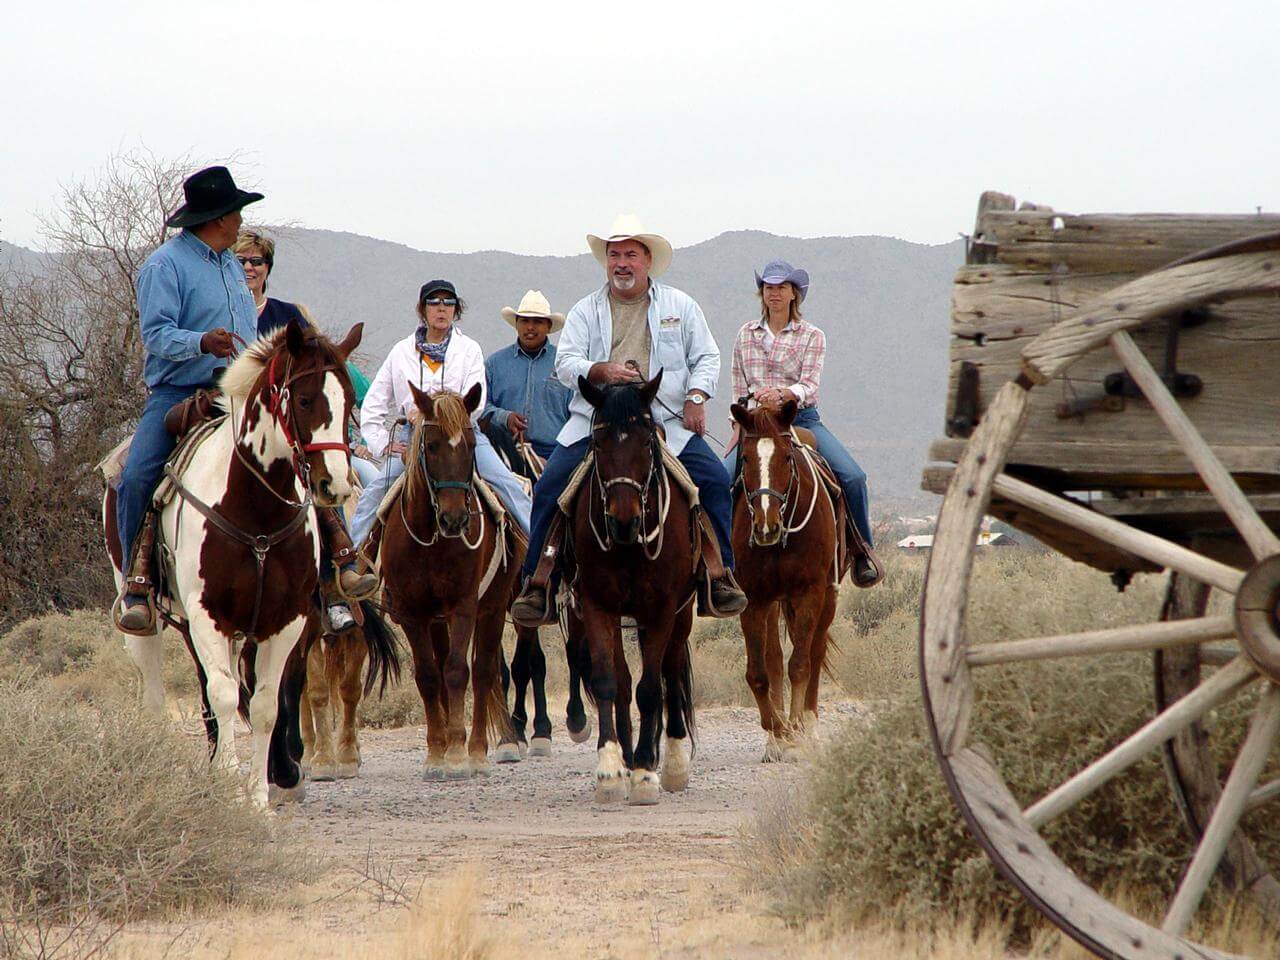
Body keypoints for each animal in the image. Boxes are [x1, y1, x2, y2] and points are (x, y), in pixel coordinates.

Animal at [103, 320, 368, 808]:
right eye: (304, 399)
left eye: (349, 401)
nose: (336, 485)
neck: (256, 510)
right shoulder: (209, 615)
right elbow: (225, 695)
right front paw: (229, 784)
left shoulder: (286, 620)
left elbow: (265, 704)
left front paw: (261, 797)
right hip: (151, 618)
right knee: (159, 688)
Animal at [373, 386, 519, 783]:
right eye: (433, 445)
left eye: (469, 444)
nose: (455, 519)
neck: (432, 540)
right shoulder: (413, 613)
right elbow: (428, 675)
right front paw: (435, 754)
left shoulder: (464, 607)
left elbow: (457, 671)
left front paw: (455, 754)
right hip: (436, 620)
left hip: (492, 609)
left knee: (483, 672)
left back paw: (478, 752)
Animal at [563, 371, 696, 808]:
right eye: (597, 443)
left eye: (646, 442)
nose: (623, 520)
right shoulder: (596, 604)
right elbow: (609, 680)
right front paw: (610, 769)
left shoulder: (661, 609)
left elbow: (652, 688)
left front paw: (644, 775)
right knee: (622, 682)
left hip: (682, 615)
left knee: (671, 673)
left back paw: (668, 761)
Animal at [727, 401, 844, 762]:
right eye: (745, 458)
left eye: (787, 458)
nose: (767, 527)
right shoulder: (754, 598)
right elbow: (760, 672)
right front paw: (777, 731)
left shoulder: (809, 593)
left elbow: (800, 665)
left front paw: (795, 730)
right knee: (775, 658)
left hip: (827, 597)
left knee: (815, 653)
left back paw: (809, 727)